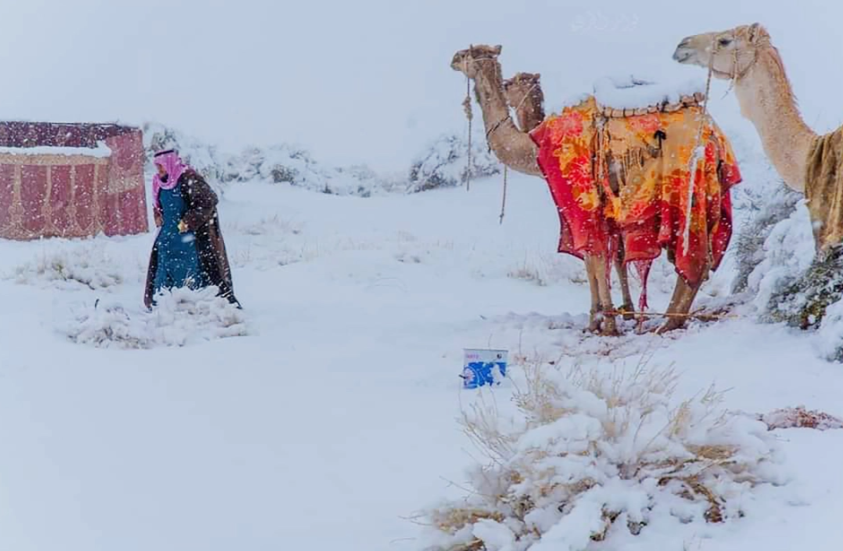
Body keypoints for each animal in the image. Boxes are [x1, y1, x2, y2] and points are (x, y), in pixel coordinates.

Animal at [452, 44, 740, 336]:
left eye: (466, 54)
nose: (452, 60)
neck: (534, 147)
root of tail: (715, 138)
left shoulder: (581, 200)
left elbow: (594, 258)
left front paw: (602, 321)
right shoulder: (609, 209)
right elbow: (612, 257)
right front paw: (620, 313)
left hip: (686, 188)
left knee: (694, 257)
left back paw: (667, 322)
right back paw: (670, 319)